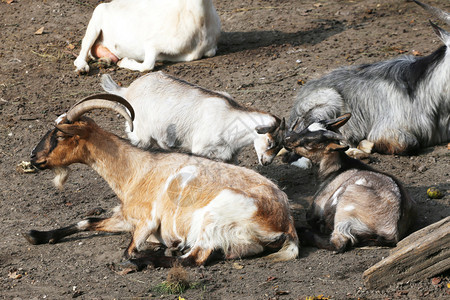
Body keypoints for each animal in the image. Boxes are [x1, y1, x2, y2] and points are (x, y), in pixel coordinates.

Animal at [24, 95, 298, 268]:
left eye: (60, 134)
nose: (34, 157)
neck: (138, 170)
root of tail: (286, 224)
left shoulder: (146, 222)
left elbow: (128, 248)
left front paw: (138, 256)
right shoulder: (126, 217)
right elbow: (87, 221)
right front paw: (37, 235)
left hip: (211, 220)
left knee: (195, 259)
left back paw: (148, 258)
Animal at [74, 0, 221, 73]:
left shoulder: (208, 50)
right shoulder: (153, 44)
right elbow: (148, 66)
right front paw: (125, 62)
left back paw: (106, 60)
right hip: (96, 17)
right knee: (84, 49)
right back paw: (82, 68)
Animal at [284, 113, 414, 252]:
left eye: (309, 142)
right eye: (305, 128)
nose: (286, 139)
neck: (337, 169)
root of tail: (391, 231)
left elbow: (310, 216)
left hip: (347, 203)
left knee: (339, 242)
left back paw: (304, 233)